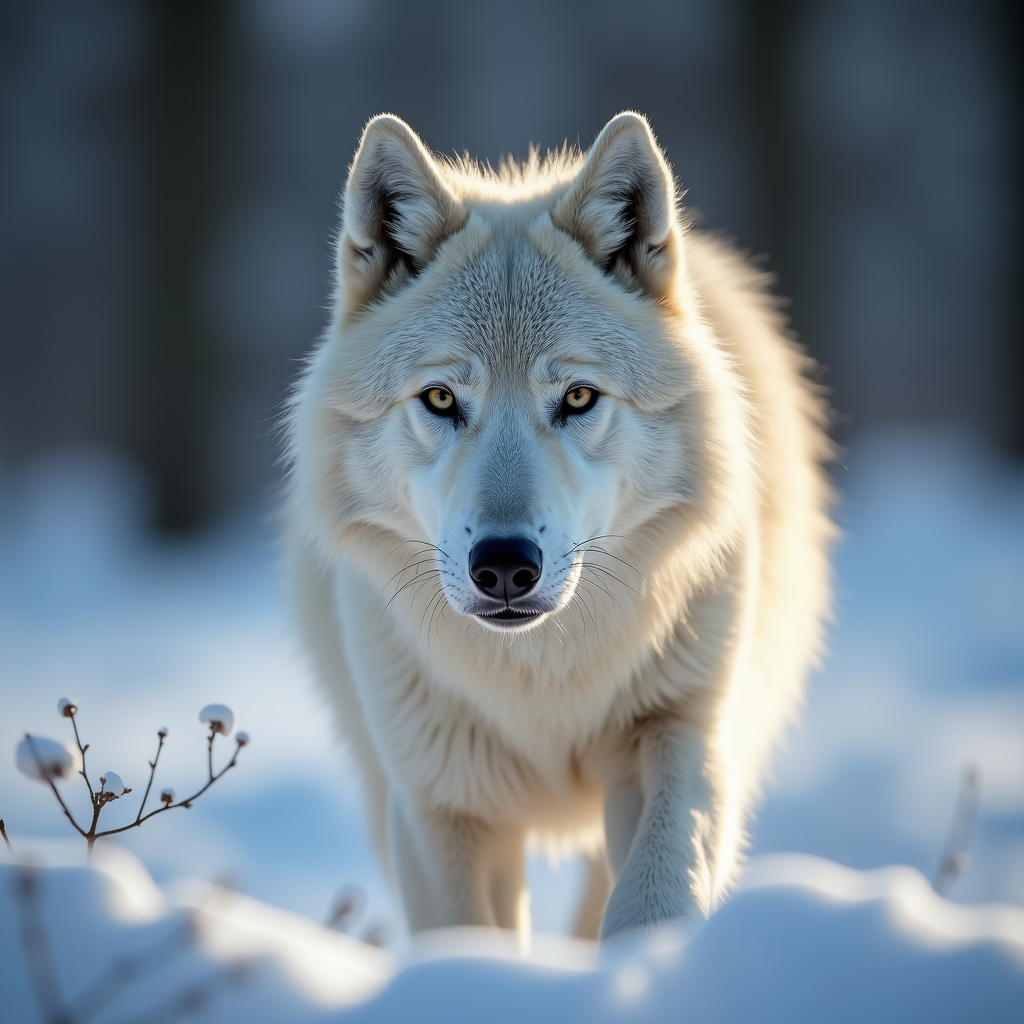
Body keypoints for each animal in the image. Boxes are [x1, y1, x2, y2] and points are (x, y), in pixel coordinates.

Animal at [285, 111, 833, 941]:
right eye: (441, 399)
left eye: (577, 397)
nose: (506, 565)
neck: (541, 683)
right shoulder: (440, 804)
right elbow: (466, 939)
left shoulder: (680, 735)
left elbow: (651, 896)